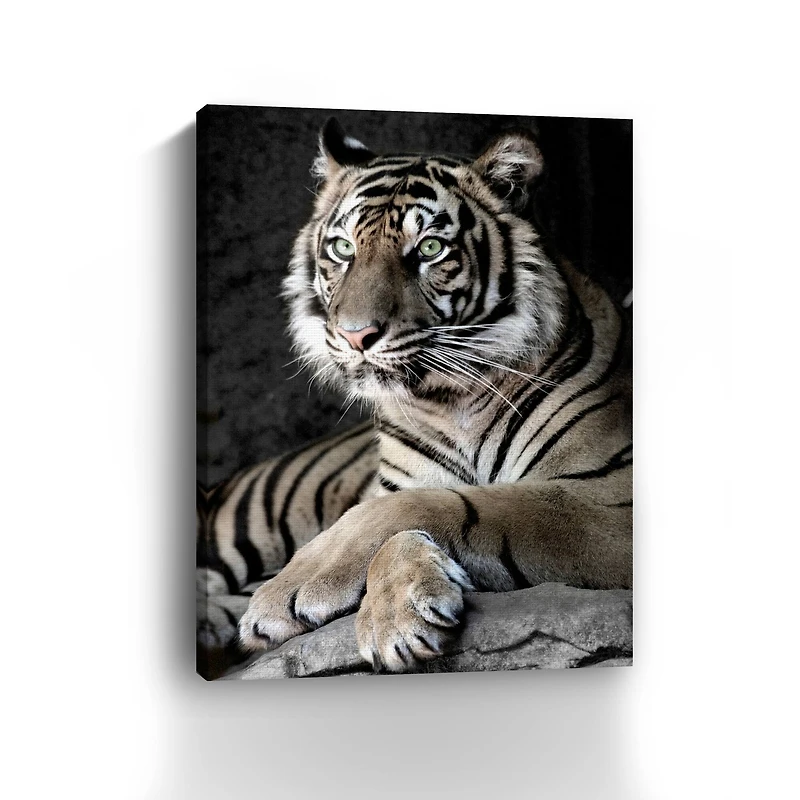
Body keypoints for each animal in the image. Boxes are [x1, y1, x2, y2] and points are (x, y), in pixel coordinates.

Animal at [198, 118, 632, 676]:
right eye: (343, 249)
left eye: (428, 250)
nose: (356, 335)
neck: (453, 404)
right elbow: (406, 507)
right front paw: (393, 615)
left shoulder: (612, 497)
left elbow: (432, 507)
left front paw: (311, 592)